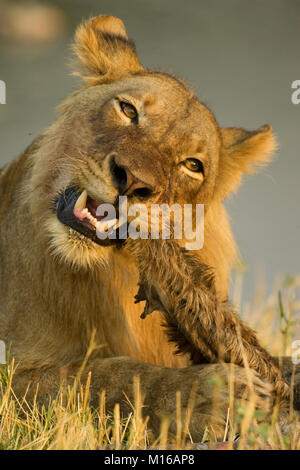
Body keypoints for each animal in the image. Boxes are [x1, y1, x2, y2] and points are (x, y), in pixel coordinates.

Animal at [0, 15, 298, 440]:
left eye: (192, 165)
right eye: (128, 109)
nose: (132, 180)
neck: (104, 276)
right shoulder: (13, 372)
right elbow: (102, 377)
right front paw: (212, 396)